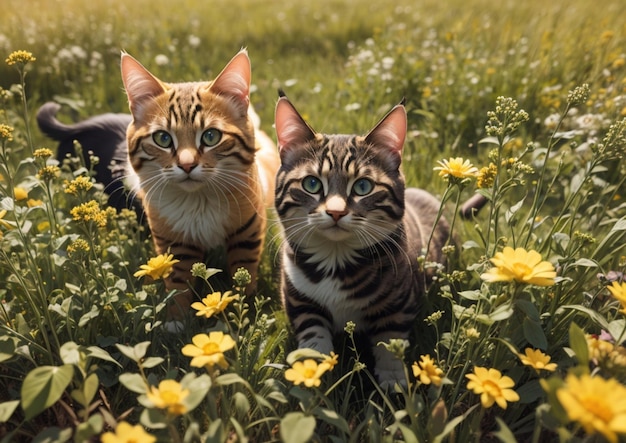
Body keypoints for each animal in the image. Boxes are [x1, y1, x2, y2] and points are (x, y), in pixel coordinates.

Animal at [274, 95, 448, 386]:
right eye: (312, 184)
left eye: (363, 187)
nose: (335, 211)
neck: (335, 260)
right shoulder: (298, 297)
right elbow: (312, 334)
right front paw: (313, 372)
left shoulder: (398, 302)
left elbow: (391, 339)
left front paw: (392, 379)